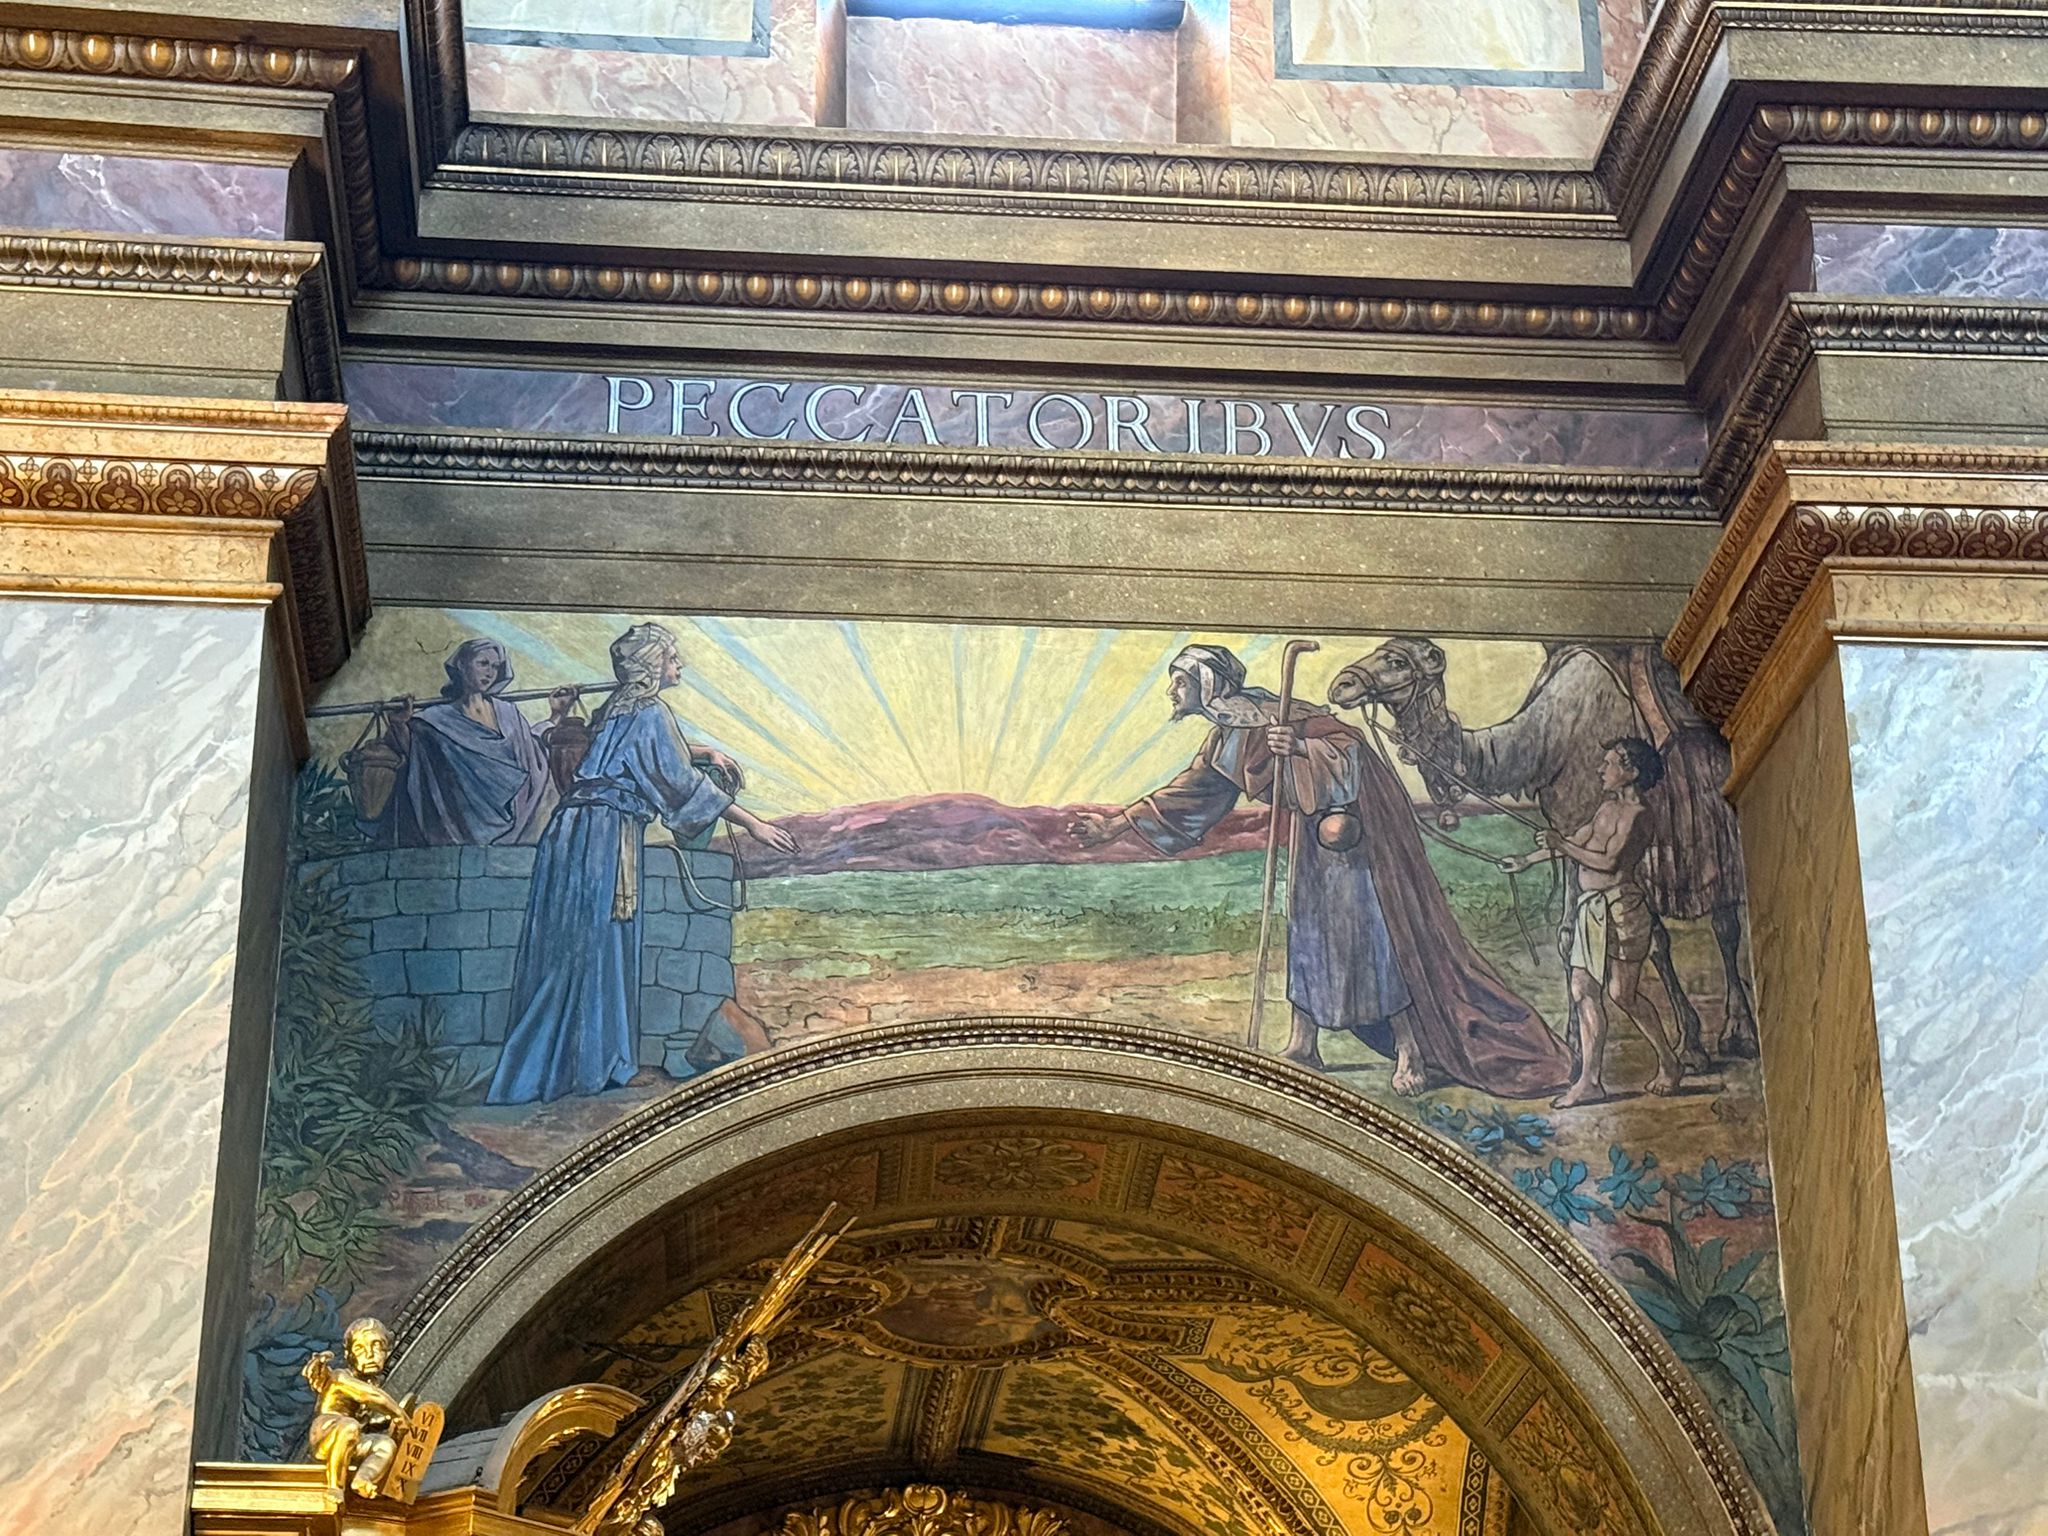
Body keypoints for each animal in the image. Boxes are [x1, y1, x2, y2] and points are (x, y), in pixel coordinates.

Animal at [1326, 637, 1757, 1068]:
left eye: (1396, 661)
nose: (1342, 684)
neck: (1552, 738)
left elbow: (1641, 938)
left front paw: (1683, 1048)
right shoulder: (1570, 835)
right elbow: (1576, 939)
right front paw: (1580, 1046)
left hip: (1714, 832)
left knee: (1725, 924)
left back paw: (1740, 1034)